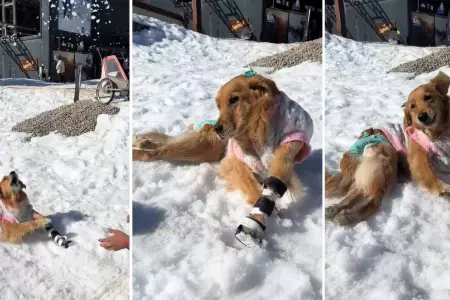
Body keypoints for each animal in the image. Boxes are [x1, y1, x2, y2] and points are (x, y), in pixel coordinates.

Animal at [132, 74, 312, 245]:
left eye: (234, 99)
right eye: (218, 106)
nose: (217, 129)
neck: (257, 129)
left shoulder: (288, 147)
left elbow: (278, 175)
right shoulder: (232, 162)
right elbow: (253, 188)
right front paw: (260, 217)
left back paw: (141, 141)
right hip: (203, 146)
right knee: (159, 151)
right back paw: (137, 148)